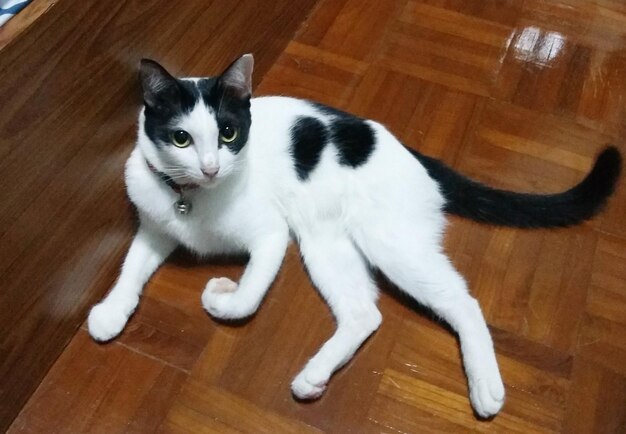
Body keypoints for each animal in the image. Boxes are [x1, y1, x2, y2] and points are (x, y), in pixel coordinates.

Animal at [86, 53, 620, 418]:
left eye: (229, 134)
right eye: (181, 138)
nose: (212, 166)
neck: (193, 200)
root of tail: (418, 157)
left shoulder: (271, 235)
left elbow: (248, 298)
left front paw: (222, 295)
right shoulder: (155, 226)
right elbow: (130, 269)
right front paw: (111, 312)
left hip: (388, 243)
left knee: (462, 302)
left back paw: (484, 384)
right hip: (326, 245)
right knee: (365, 314)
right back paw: (315, 375)